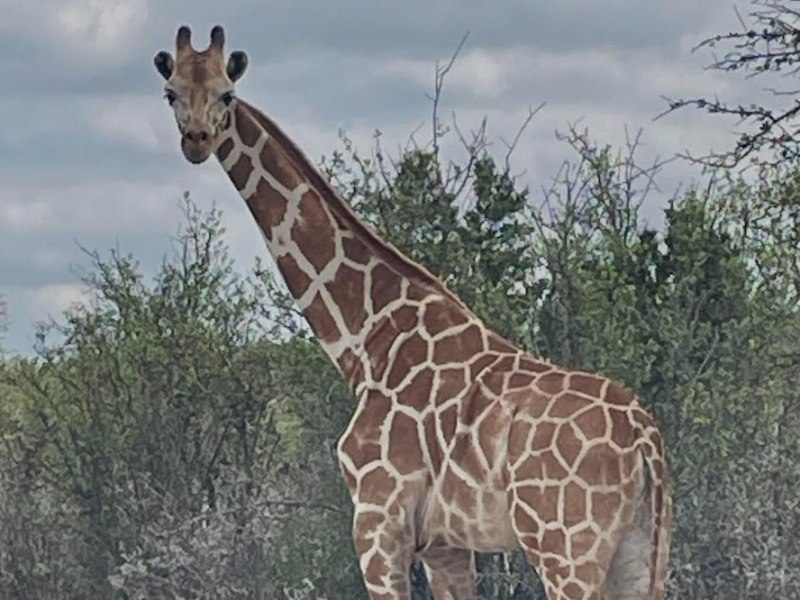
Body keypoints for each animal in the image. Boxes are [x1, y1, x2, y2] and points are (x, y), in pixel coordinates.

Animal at [153, 26, 672, 600]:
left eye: (227, 94)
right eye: (171, 93)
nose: (197, 140)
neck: (367, 339)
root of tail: (646, 441)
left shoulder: (378, 520)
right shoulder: (445, 544)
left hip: (564, 544)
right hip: (641, 550)